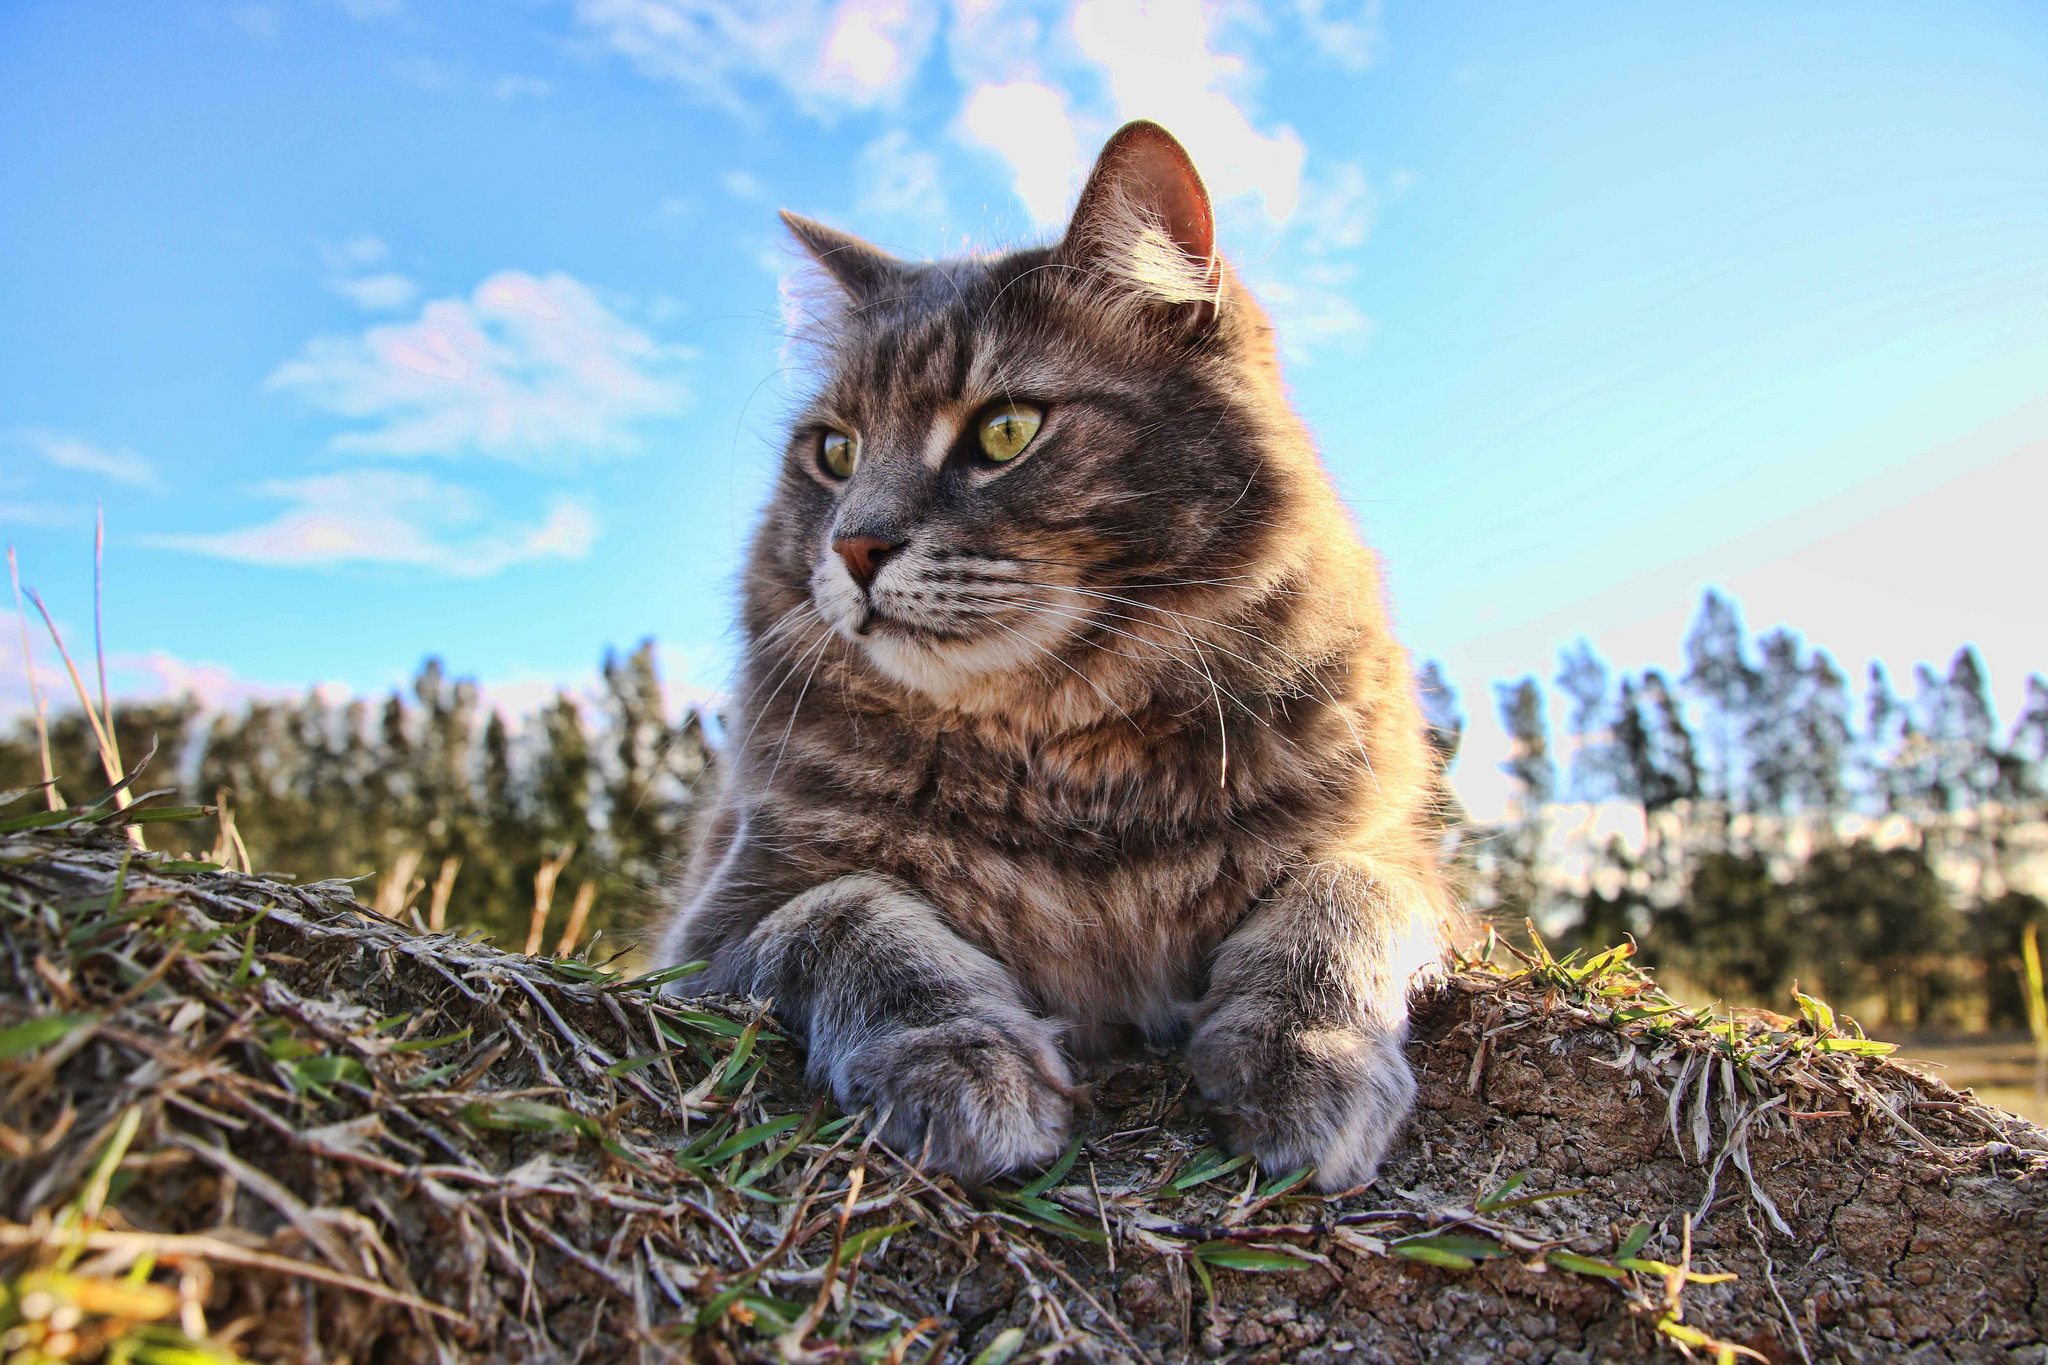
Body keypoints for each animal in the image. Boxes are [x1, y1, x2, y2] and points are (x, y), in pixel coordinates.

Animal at [663, 125, 1449, 1195]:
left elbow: (1344, 898)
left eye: (1005, 431)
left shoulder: (1403, 861)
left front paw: (1306, 1056)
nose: (854, 546)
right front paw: (964, 1060)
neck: (1064, 758)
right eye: (835, 453)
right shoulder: (713, 928)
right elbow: (849, 915)